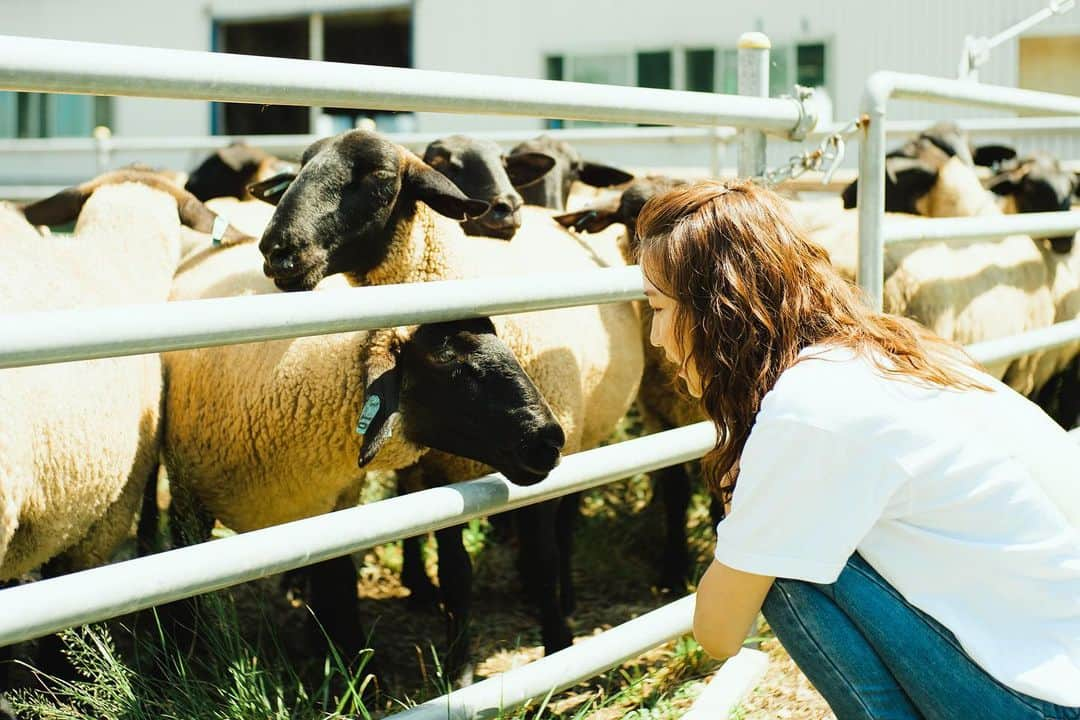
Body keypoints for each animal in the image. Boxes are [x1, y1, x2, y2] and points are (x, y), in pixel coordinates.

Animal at [250, 127, 639, 677]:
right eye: (301, 166)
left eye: (378, 175)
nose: (278, 252)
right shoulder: (440, 468)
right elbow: (456, 572)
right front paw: (459, 667)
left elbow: (544, 554)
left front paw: (558, 643)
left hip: (587, 432)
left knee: (564, 526)